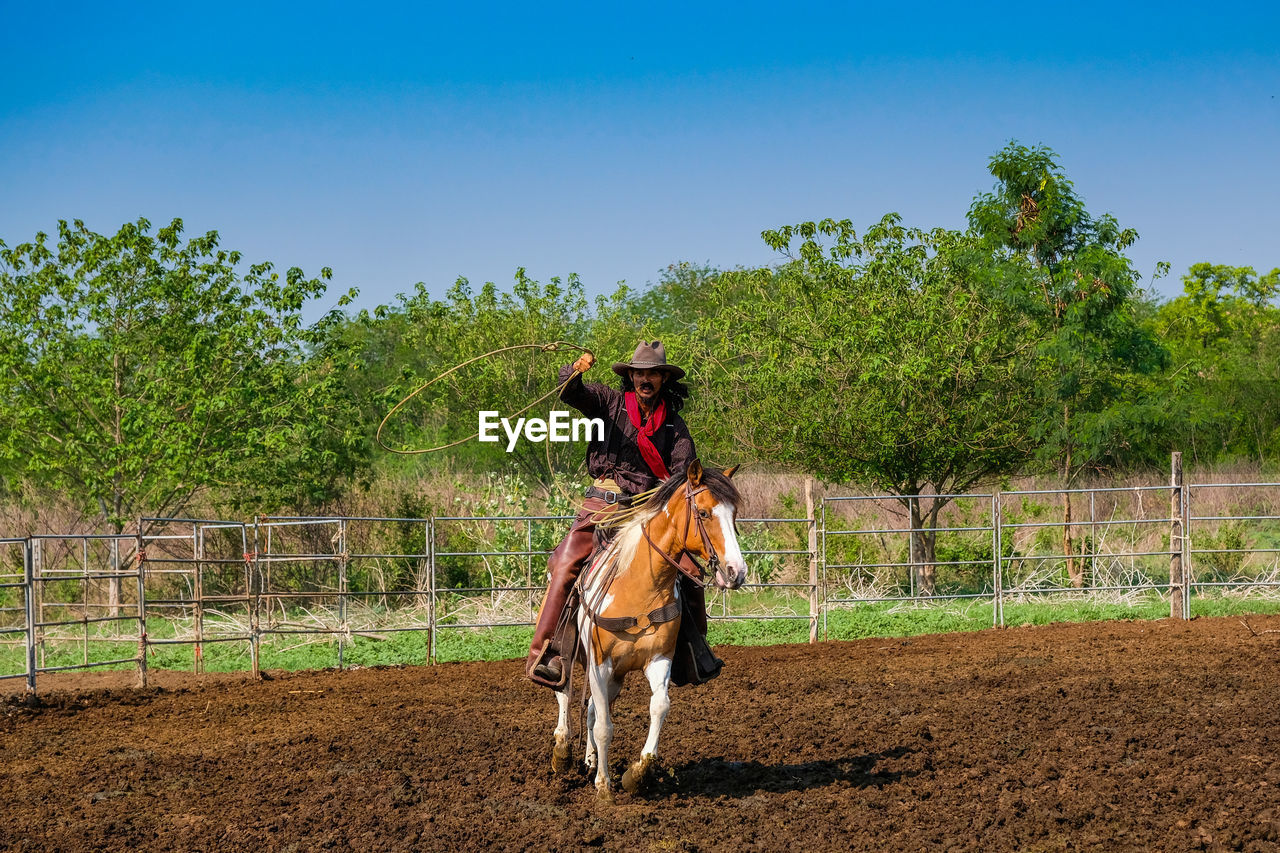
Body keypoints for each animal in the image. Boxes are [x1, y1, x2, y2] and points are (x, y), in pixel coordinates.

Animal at [552, 461, 747, 794]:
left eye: (733, 515)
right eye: (704, 512)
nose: (737, 571)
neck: (640, 586)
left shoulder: (658, 660)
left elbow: (659, 706)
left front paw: (638, 772)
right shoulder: (600, 664)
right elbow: (604, 726)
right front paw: (604, 786)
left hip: (615, 677)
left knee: (589, 708)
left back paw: (590, 760)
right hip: (572, 656)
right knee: (564, 692)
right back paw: (562, 751)